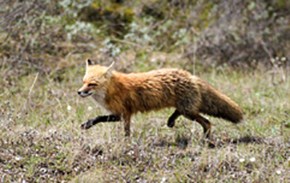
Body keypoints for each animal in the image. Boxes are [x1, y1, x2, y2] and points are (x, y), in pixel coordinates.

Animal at [77, 59, 242, 138]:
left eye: (92, 84)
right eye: (83, 82)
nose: (79, 92)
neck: (112, 89)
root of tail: (191, 76)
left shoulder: (122, 113)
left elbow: (99, 118)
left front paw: (88, 124)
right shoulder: (124, 115)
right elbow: (125, 130)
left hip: (189, 112)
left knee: (207, 123)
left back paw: (205, 140)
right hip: (186, 109)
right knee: (180, 112)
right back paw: (171, 121)